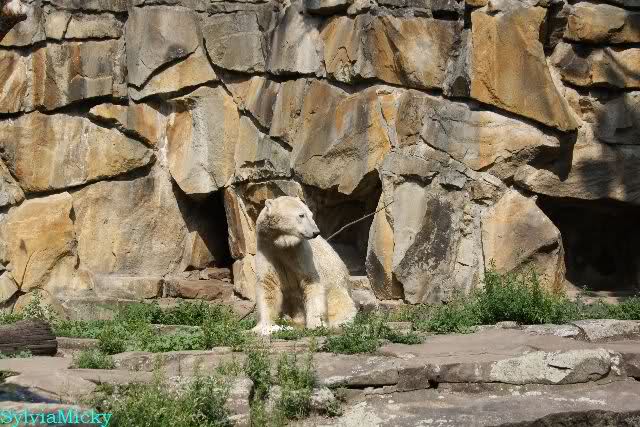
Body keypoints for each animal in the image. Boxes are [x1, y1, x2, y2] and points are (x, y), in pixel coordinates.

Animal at [251, 196, 357, 335]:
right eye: (301, 215)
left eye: (311, 215)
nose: (316, 232)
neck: (282, 244)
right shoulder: (267, 249)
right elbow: (268, 286)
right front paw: (262, 327)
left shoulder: (300, 252)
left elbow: (311, 282)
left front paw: (316, 325)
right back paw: (288, 322)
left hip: (338, 292)